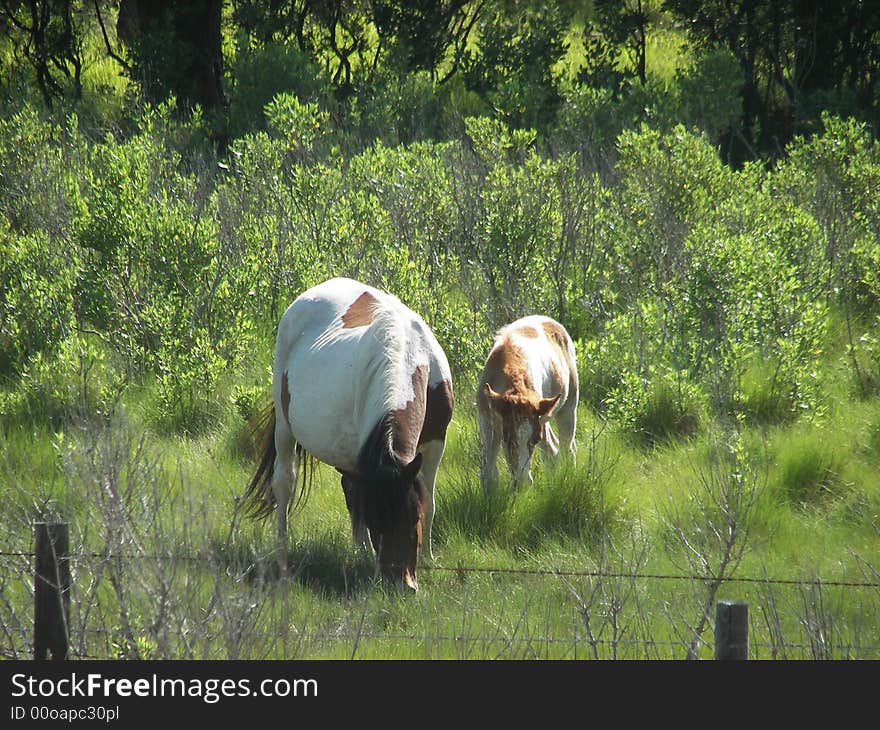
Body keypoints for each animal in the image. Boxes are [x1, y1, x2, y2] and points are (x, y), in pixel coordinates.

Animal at [246, 276, 458, 588]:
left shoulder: (435, 444)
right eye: (377, 523)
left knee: (349, 489)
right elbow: (359, 503)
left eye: (413, 519)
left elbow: (429, 501)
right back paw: (284, 547)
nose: (400, 583)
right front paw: (369, 555)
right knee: (285, 483)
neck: (407, 356)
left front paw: (429, 558)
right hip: (285, 428)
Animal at [478, 312, 580, 490]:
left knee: (564, 450)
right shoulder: (487, 420)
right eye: (507, 438)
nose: (523, 482)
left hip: (568, 407)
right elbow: (489, 472)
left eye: (534, 440)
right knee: (556, 448)